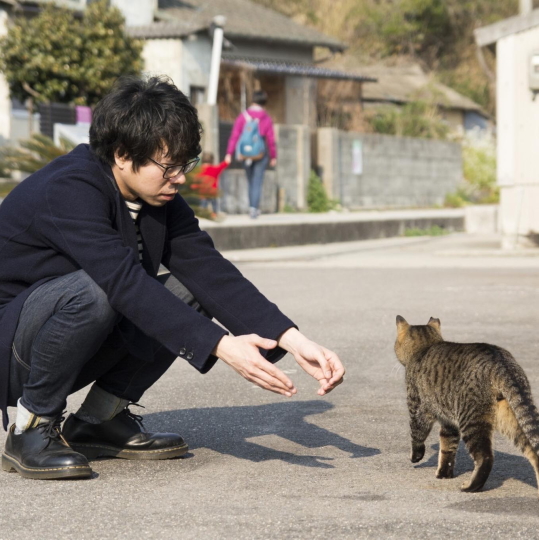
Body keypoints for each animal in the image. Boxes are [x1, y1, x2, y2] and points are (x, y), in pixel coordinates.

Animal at [392, 314, 539, 492]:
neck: (425, 347)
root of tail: (501, 361)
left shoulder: (418, 407)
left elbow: (417, 433)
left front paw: (416, 456)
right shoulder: (448, 422)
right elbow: (447, 448)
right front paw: (444, 473)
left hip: (471, 420)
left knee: (485, 457)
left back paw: (471, 486)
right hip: (512, 419)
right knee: (533, 452)